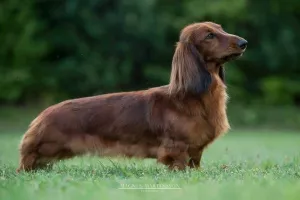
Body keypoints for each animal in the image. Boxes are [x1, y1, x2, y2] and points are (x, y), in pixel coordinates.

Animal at [16, 21, 247, 172]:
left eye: (221, 29)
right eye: (209, 35)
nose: (244, 42)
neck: (192, 98)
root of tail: (41, 117)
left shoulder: (195, 151)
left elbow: (195, 164)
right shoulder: (177, 147)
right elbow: (179, 164)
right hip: (43, 149)